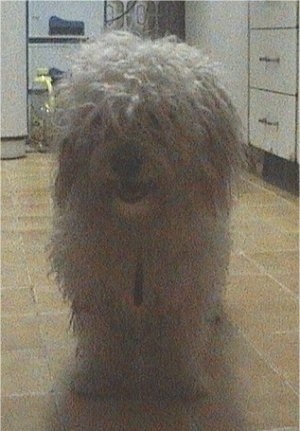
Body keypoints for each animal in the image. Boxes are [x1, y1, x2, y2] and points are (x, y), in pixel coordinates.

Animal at [51, 31, 246, 431]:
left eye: (161, 116)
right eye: (101, 117)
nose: (126, 160)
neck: (139, 226)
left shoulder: (185, 284)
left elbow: (183, 336)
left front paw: (183, 382)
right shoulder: (95, 285)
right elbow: (99, 337)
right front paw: (95, 378)